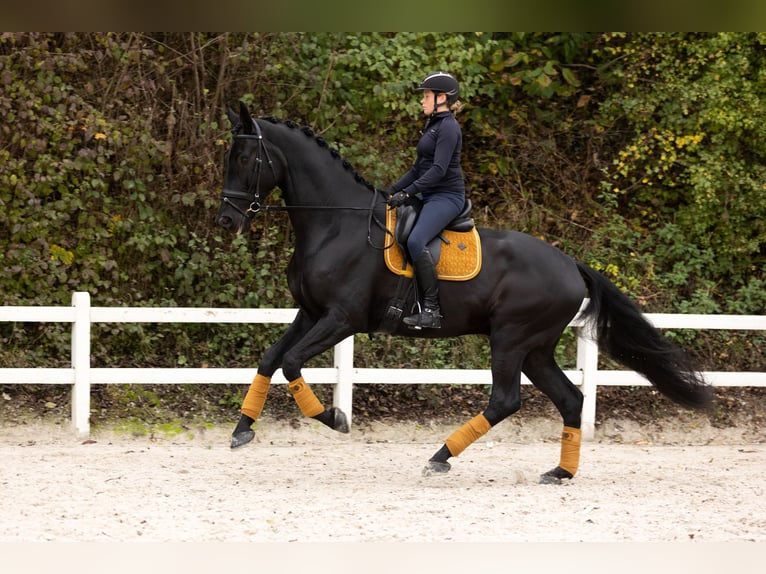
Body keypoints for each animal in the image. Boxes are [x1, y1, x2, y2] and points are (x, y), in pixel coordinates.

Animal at [216, 103, 712, 486]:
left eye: (247, 157)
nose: (226, 221)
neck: (335, 221)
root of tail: (571, 264)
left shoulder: (342, 318)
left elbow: (291, 362)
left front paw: (335, 420)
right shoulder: (309, 312)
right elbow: (269, 360)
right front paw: (242, 431)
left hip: (510, 339)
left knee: (506, 400)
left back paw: (440, 457)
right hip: (535, 349)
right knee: (571, 399)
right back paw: (560, 472)